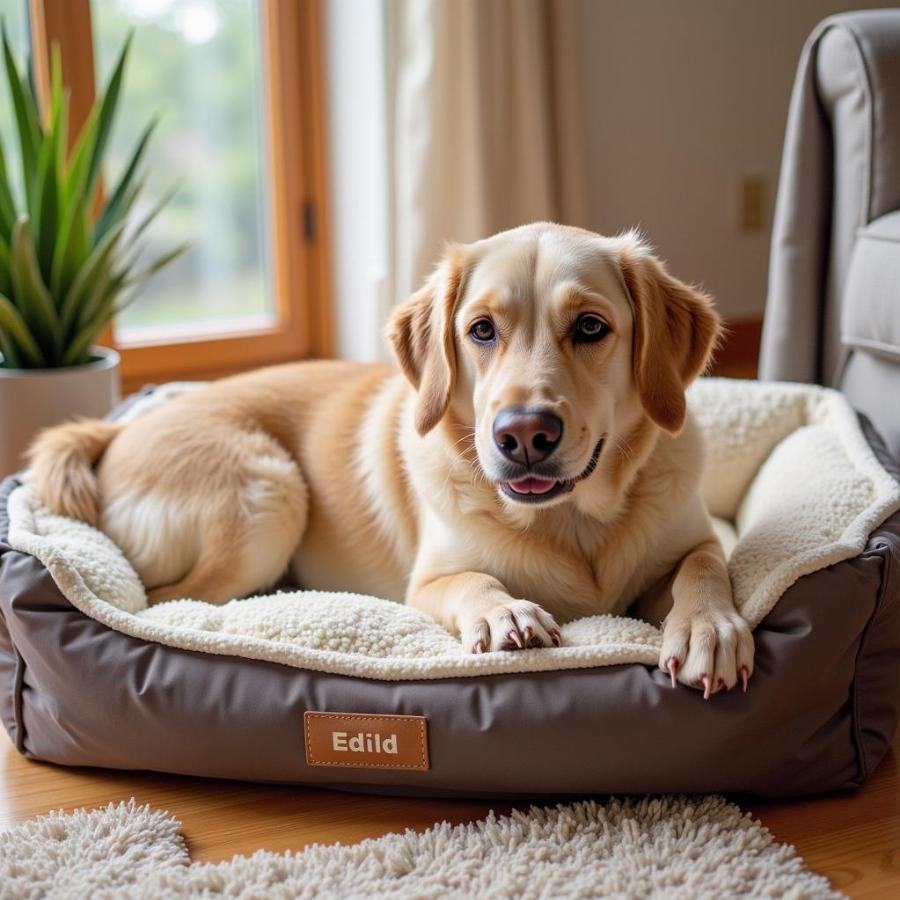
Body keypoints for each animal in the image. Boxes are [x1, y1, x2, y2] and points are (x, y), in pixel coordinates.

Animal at [28, 223, 752, 696]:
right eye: (481, 330)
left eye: (591, 327)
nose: (522, 434)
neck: (573, 522)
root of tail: (115, 432)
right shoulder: (428, 582)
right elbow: (472, 581)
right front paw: (506, 614)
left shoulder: (695, 540)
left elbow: (704, 567)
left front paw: (708, 629)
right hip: (269, 494)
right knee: (161, 604)